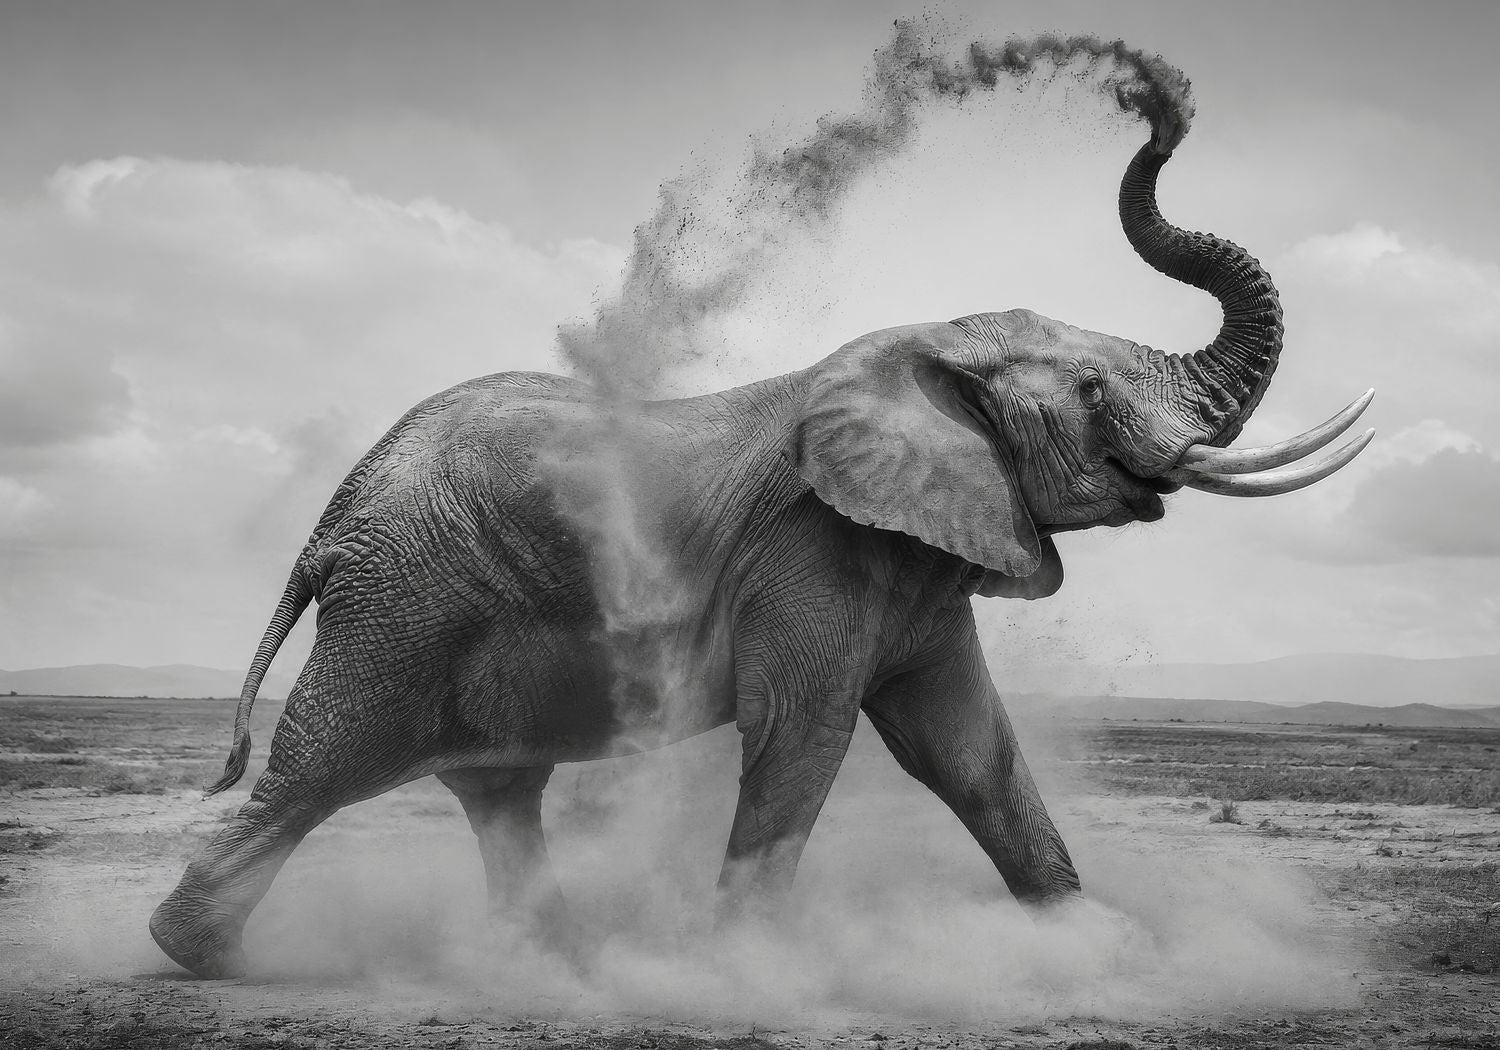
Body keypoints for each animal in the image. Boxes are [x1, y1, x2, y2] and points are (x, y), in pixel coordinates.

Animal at [150, 139, 1372, 979]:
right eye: (1094, 390)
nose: (1158, 117)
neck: (927, 346)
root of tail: (335, 511)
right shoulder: (814, 546)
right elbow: (805, 735)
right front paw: (750, 971)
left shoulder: (918, 562)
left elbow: (968, 751)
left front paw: (1100, 947)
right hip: (404, 604)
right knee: (325, 764)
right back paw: (209, 955)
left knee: (497, 789)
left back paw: (553, 957)